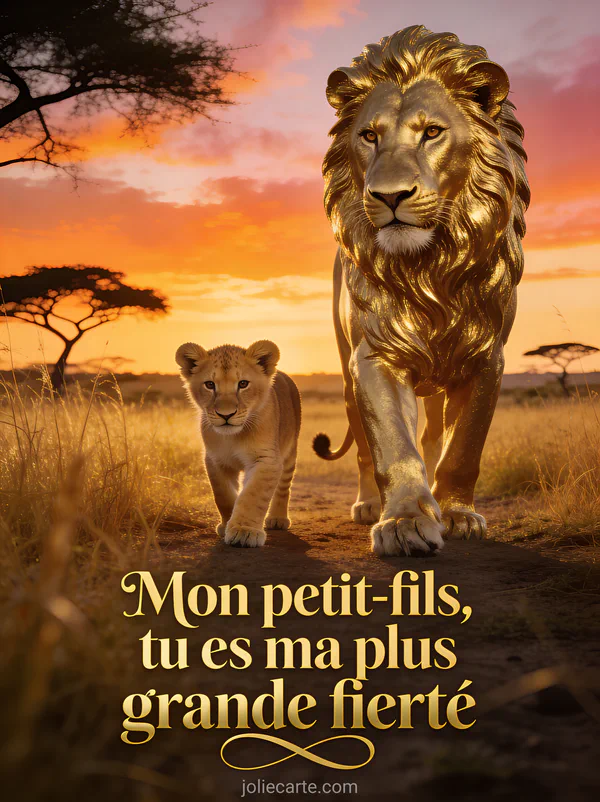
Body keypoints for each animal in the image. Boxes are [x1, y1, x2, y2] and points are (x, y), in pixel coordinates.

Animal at [176, 340, 301, 548]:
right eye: (210, 384)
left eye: (243, 384)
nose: (226, 415)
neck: (233, 437)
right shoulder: (215, 460)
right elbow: (224, 495)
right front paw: (226, 525)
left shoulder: (266, 459)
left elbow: (253, 495)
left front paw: (244, 532)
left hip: (290, 451)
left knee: (284, 486)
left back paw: (278, 519)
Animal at [313, 25, 529, 557]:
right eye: (369, 136)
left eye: (432, 132)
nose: (389, 196)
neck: (432, 266)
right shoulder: (374, 354)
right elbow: (392, 443)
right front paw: (405, 522)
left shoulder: (486, 358)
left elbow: (463, 447)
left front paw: (458, 515)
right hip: (346, 374)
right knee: (364, 447)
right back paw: (369, 504)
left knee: (433, 434)